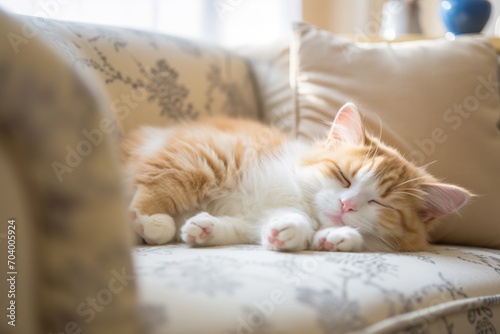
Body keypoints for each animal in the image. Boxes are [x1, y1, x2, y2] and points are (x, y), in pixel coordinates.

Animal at [123, 103, 470, 252]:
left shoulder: (254, 217)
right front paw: (153, 220)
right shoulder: (211, 155)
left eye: (381, 203)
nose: (346, 205)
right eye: (344, 177)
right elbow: (167, 184)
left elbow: (243, 227)